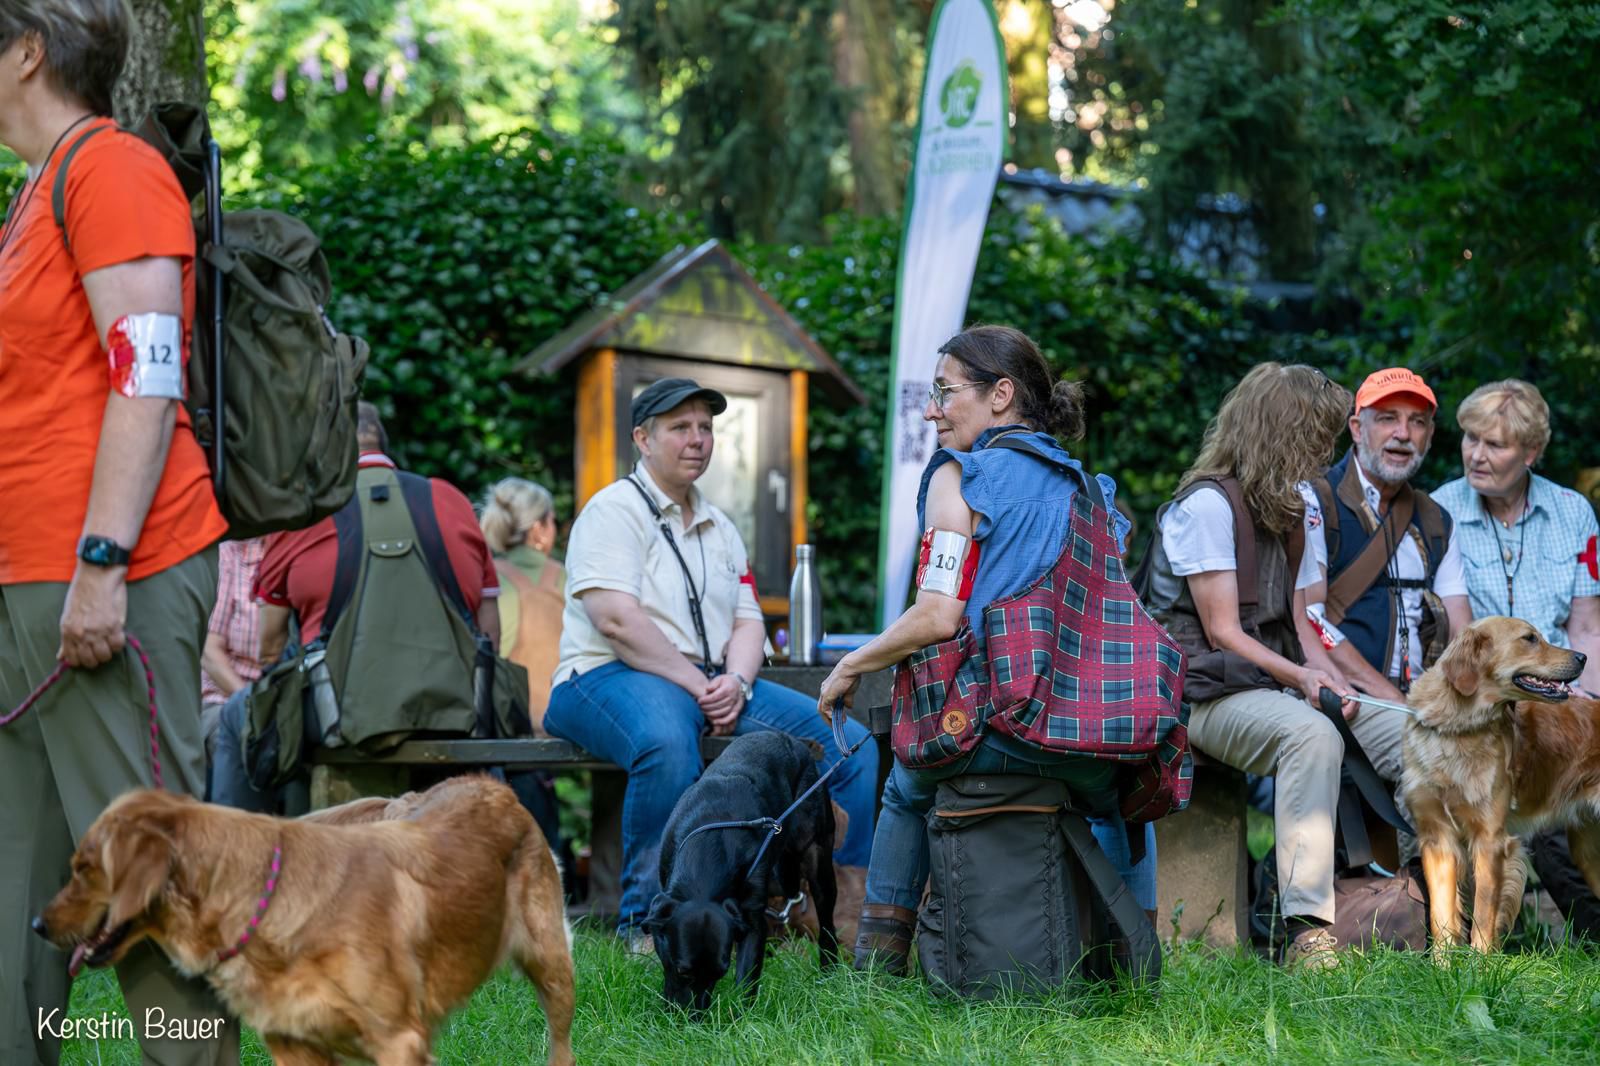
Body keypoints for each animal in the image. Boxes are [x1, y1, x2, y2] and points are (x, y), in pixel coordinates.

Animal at [34, 771, 576, 1062]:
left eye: (83, 868)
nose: (38, 926)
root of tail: (492, 783)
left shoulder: (399, 1040)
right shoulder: (297, 1047)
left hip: (553, 967)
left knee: (561, 1046)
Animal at [640, 729, 844, 1005]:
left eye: (720, 971)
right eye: (683, 970)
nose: (691, 1014)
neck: (711, 851)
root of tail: (791, 740)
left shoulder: (753, 919)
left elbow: (747, 978)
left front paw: (740, 1013)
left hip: (817, 859)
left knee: (827, 926)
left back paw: (829, 975)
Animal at [1401, 614, 1587, 953]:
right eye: (1529, 638)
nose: (1583, 657)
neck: (1457, 729)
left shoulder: (1491, 839)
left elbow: (1484, 911)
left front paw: (1480, 960)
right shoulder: (1437, 838)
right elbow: (1440, 915)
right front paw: (1442, 962)